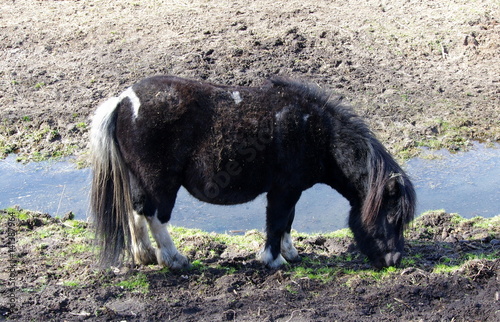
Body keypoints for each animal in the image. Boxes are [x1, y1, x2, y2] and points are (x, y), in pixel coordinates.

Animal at [89, 76, 414, 270]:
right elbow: (277, 222)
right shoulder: (283, 190)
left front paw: (290, 252)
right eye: (391, 217)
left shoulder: (291, 190)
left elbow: (287, 222)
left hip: (139, 179)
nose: (394, 259)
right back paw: (174, 259)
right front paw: (274, 260)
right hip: (160, 183)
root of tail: (123, 101)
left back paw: (144, 255)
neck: (315, 132)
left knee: (136, 212)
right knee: (155, 216)